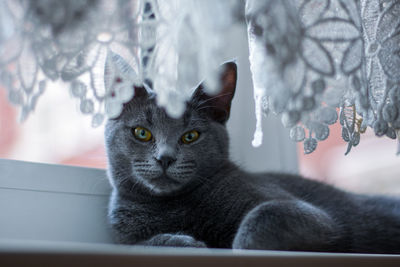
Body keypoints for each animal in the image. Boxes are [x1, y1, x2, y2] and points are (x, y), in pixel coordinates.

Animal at [104, 61, 400, 254]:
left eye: (191, 136)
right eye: (142, 133)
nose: (165, 158)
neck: (172, 206)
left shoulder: (315, 218)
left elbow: (262, 215)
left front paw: (233, 247)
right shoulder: (124, 237)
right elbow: (140, 244)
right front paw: (186, 242)